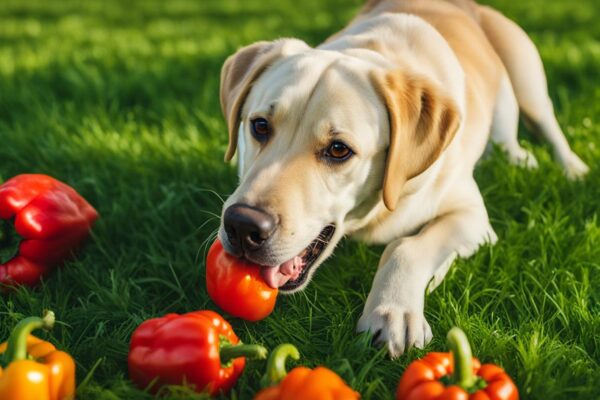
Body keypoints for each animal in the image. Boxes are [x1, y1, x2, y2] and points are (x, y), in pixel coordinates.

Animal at [214, 0, 584, 356]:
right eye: (260, 126)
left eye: (338, 149)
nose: (243, 225)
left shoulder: (472, 216)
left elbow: (405, 246)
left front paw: (392, 312)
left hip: (528, 82)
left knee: (547, 127)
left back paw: (572, 169)